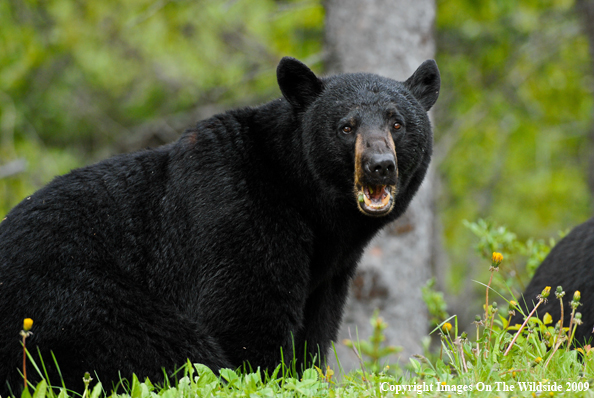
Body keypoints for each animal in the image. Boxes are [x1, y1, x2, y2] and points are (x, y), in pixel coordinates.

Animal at [0, 57, 438, 394]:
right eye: (346, 126)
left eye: (397, 123)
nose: (380, 165)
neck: (303, 198)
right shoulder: (238, 215)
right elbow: (244, 319)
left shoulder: (329, 274)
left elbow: (315, 332)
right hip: (73, 303)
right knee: (164, 347)